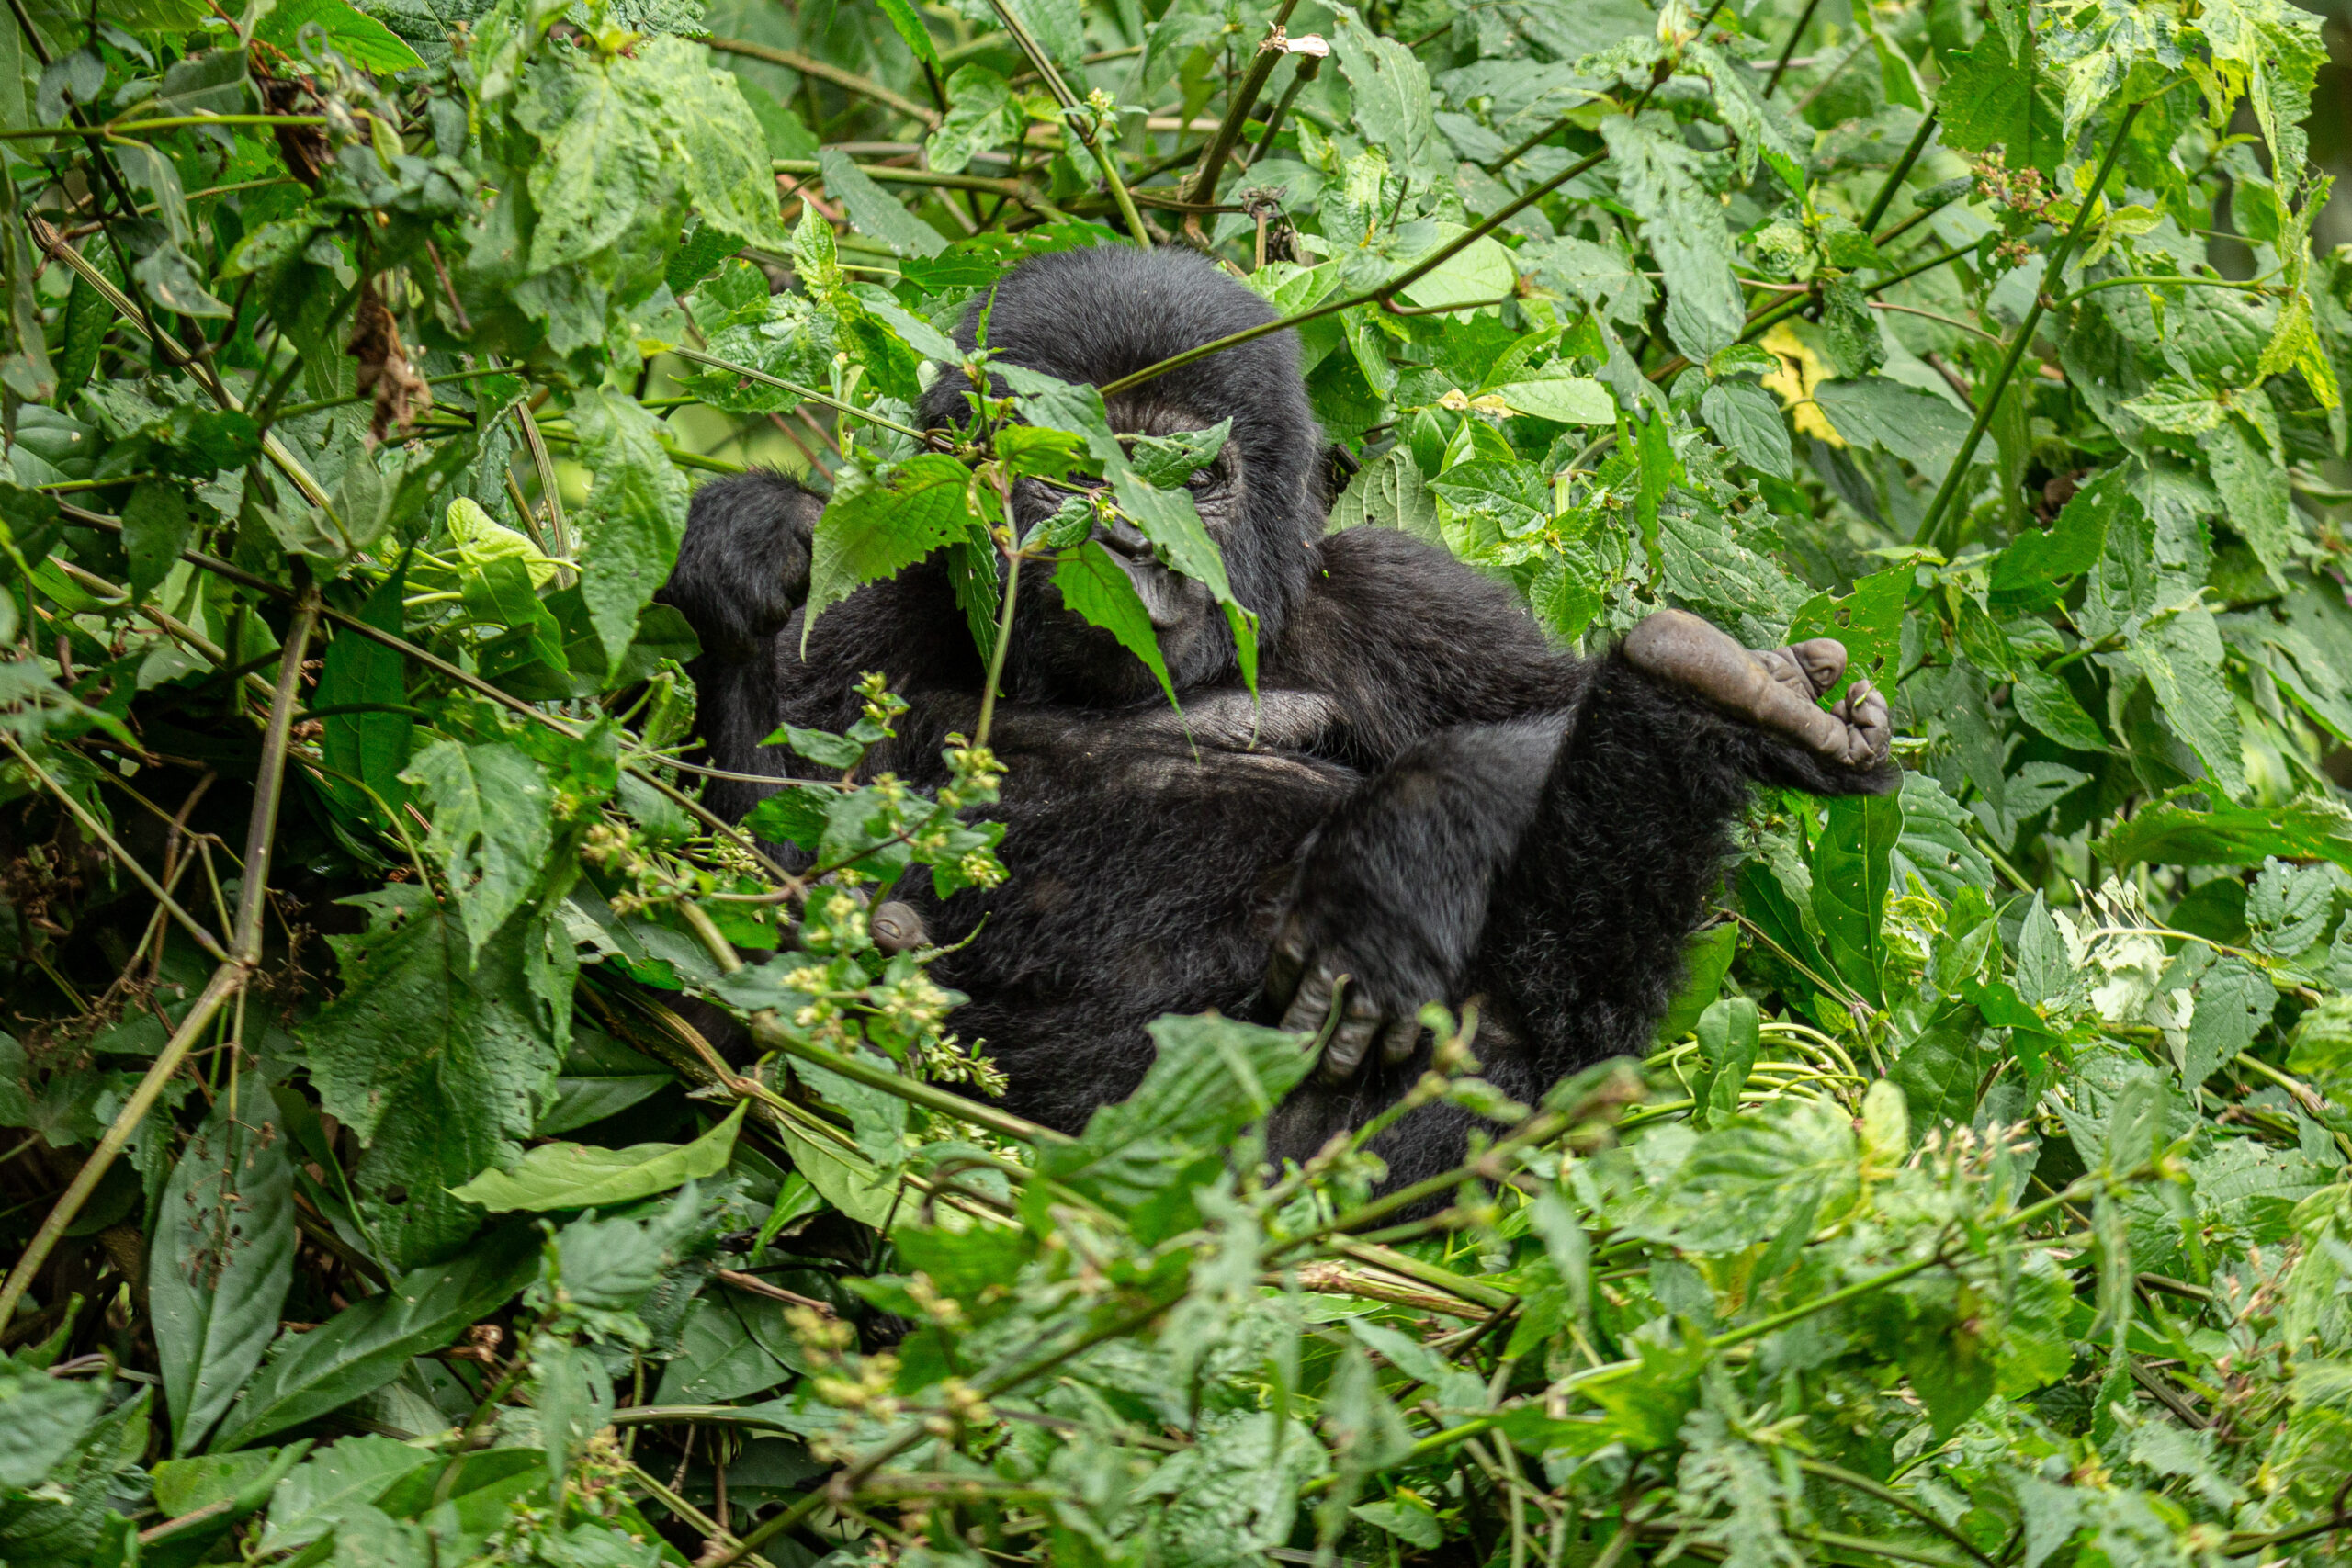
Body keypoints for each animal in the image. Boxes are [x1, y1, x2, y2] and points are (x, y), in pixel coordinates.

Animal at [658, 242, 1891, 1189]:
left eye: (1190, 477)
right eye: (1071, 472)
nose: (1129, 545)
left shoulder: (1390, 592)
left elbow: (1530, 715)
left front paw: (1397, 860)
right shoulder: (867, 600)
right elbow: (742, 922)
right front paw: (737, 553)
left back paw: (1706, 689)